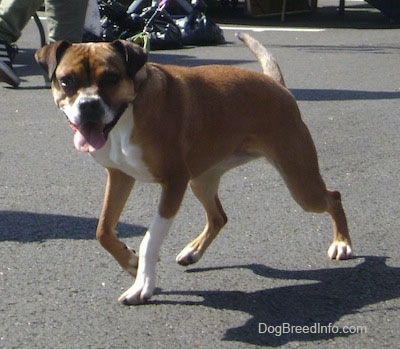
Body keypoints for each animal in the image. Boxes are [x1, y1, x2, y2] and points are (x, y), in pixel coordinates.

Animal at [36, 34, 352, 304]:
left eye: (111, 79)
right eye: (67, 81)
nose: (88, 105)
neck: (130, 111)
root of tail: (277, 84)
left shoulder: (173, 183)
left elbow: (150, 239)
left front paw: (142, 284)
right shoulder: (120, 177)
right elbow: (102, 230)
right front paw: (131, 262)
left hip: (301, 184)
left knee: (333, 196)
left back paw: (342, 244)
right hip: (201, 181)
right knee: (218, 217)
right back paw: (192, 251)